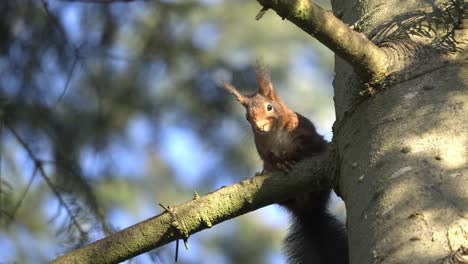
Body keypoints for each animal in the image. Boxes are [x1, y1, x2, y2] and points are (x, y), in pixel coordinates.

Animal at [220, 64, 348, 264]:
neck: (274, 134)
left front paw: (292, 155)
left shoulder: (305, 133)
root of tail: (308, 214)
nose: (260, 127)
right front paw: (280, 164)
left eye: (269, 107)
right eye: (247, 117)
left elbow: (306, 146)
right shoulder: (264, 152)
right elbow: (271, 160)